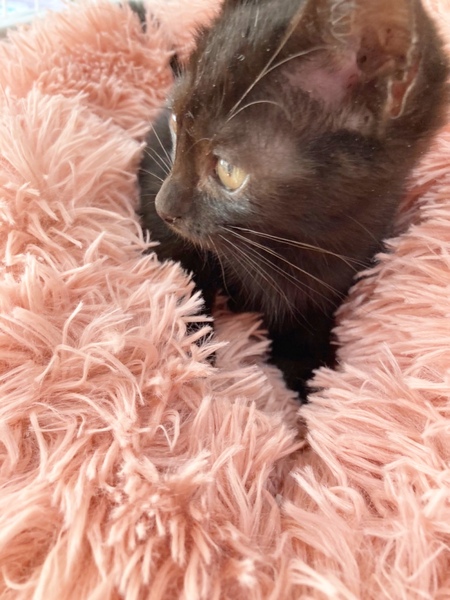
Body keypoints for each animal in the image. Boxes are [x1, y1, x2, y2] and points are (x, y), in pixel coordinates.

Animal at [136, 0, 448, 398]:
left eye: (227, 170)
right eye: (175, 125)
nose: (164, 207)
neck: (294, 242)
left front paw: (319, 392)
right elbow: (184, 284)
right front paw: (192, 355)